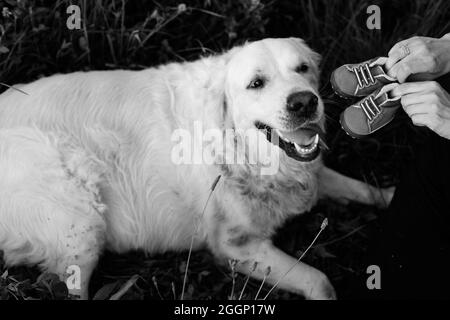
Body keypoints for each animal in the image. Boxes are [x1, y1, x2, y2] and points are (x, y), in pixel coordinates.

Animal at [0, 38, 392, 300]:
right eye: (256, 83)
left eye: (303, 69)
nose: (304, 103)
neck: (240, 145)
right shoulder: (236, 246)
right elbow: (319, 280)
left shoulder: (310, 172)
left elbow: (360, 187)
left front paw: (388, 194)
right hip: (80, 225)